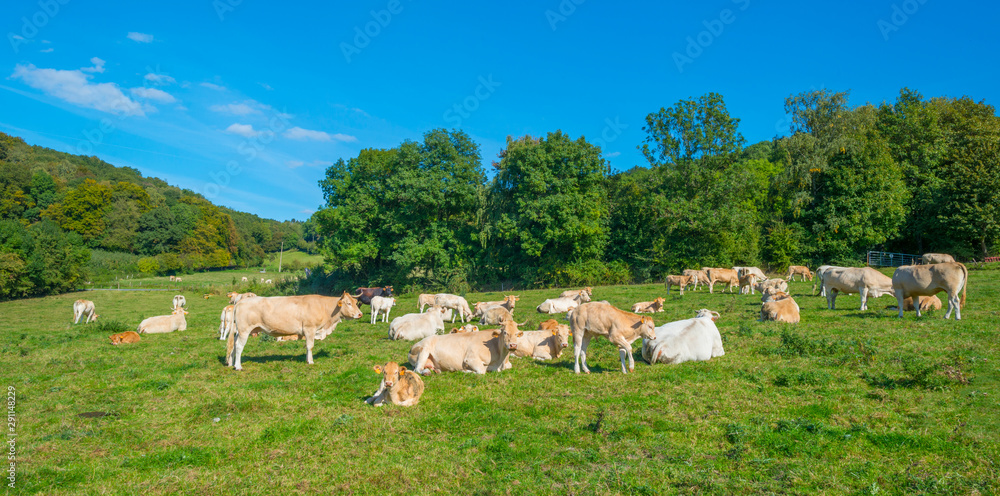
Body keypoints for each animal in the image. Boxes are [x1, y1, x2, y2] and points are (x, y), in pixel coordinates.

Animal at [226, 292, 363, 370]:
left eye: (356, 302)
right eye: (348, 303)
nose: (360, 314)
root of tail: (241, 301)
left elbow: (307, 347)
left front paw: (307, 359)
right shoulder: (310, 329)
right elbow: (310, 346)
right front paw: (311, 361)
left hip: (239, 331)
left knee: (234, 345)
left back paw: (232, 364)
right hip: (244, 330)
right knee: (239, 346)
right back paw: (238, 366)